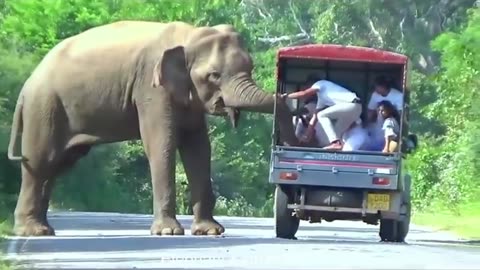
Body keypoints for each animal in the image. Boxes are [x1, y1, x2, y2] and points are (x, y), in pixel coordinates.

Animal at [6, 20, 300, 236]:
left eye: (250, 66)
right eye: (214, 75)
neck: (190, 35)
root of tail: (28, 82)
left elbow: (199, 150)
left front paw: (210, 232)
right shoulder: (151, 88)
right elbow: (162, 145)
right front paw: (168, 233)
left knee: (57, 165)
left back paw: (43, 229)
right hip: (44, 107)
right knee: (41, 162)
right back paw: (33, 232)